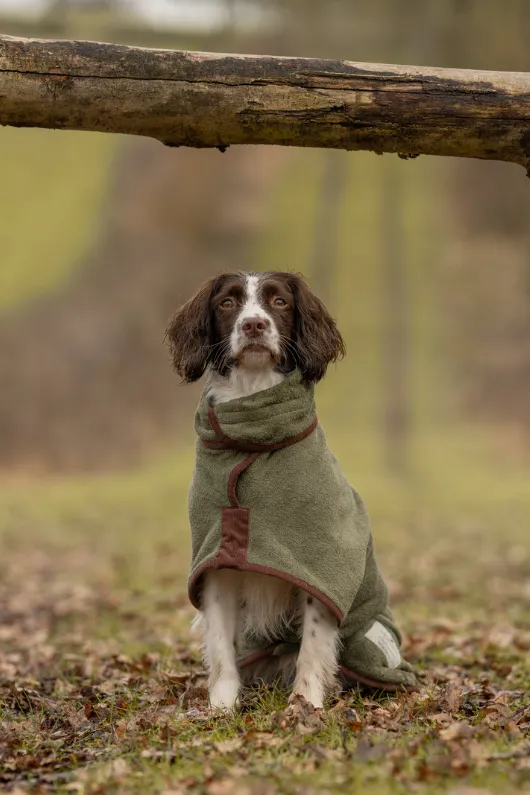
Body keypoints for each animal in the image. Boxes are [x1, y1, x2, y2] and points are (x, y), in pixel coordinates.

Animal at [165, 272, 412, 708]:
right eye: (227, 303)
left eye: (279, 301)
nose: (254, 325)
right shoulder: (217, 565)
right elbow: (221, 647)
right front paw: (221, 706)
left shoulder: (319, 567)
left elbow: (313, 645)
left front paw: (306, 704)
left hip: (367, 644)